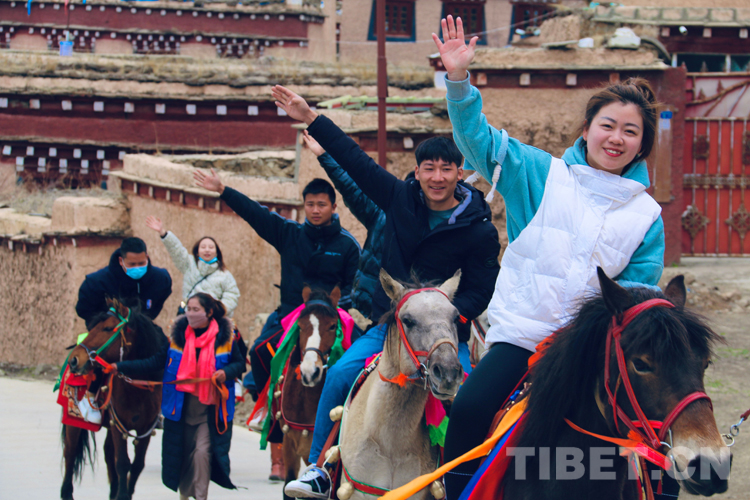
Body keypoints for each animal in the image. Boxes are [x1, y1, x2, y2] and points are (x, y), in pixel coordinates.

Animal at [61, 298, 163, 500]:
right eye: (93, 326)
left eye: (108, 328)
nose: (74, 359)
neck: (138, 387)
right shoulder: (119, 424)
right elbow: (122, 462)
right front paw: (122, 495)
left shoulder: (145, 428)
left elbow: (137, 465)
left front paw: (123, 493)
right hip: (73, 420)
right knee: (70, 452)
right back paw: (66, 493)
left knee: (108, 453)